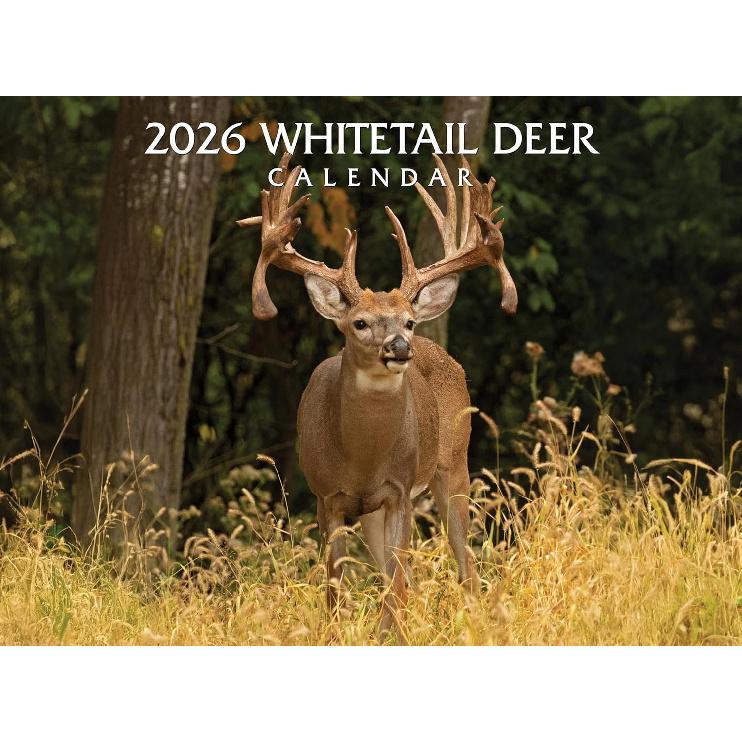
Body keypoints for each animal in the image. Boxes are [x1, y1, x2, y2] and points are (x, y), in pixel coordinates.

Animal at [237, 153, 517, 636]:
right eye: (360, 323)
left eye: (408, 320)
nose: (399, 347)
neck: (362, 458)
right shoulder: (325, 495)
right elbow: (336, 588)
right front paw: (337, 636)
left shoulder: (400, 489)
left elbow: (399, 583)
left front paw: (391, 635)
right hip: (372, 511)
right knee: (401, 575)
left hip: (453, 463)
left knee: (462, 566)